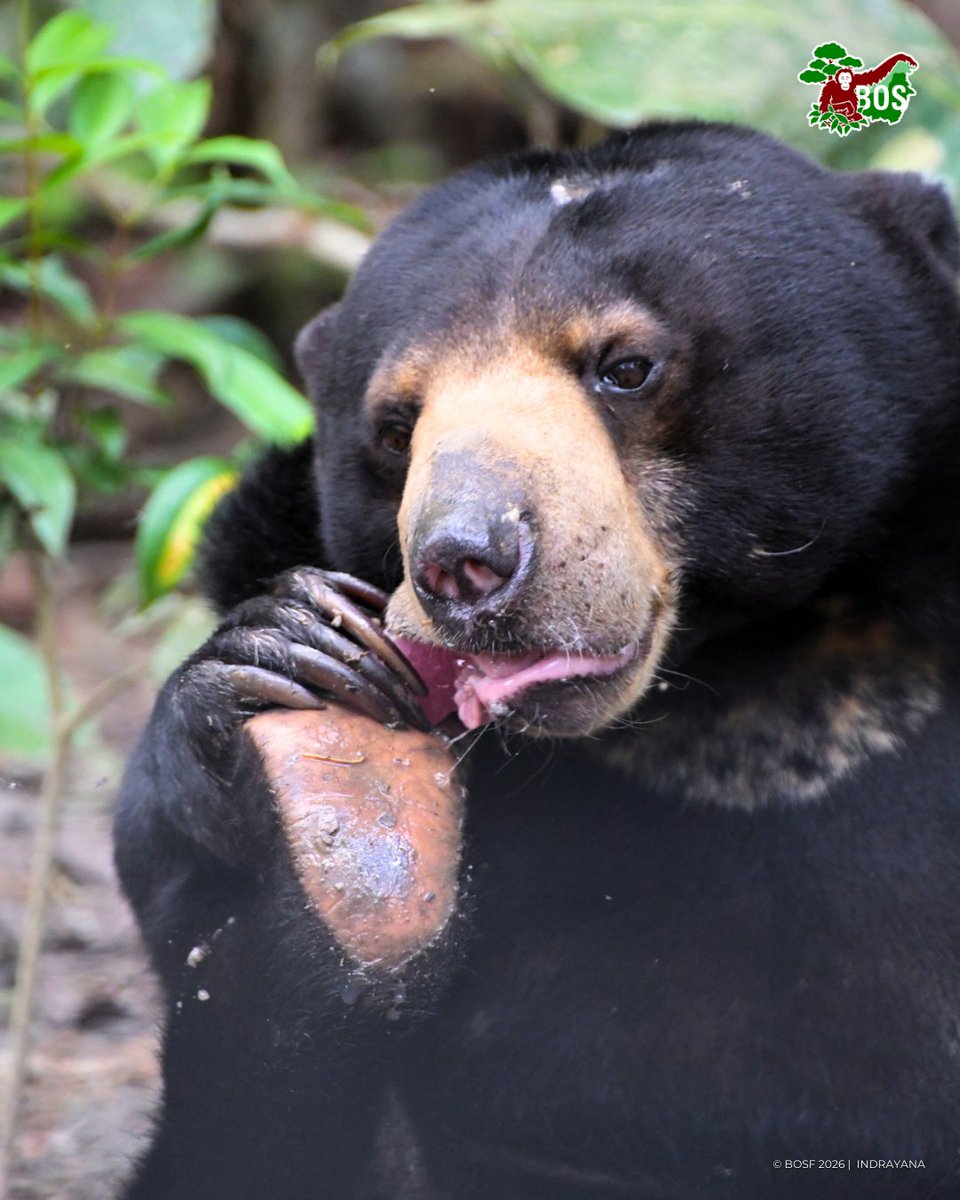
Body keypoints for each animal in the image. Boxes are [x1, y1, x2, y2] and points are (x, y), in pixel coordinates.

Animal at [114, 121, 960, 1200]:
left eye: (626, 366)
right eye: (396, 426)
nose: (465, 562)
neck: (741, 686)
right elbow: (191, 937)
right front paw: (288, 666)